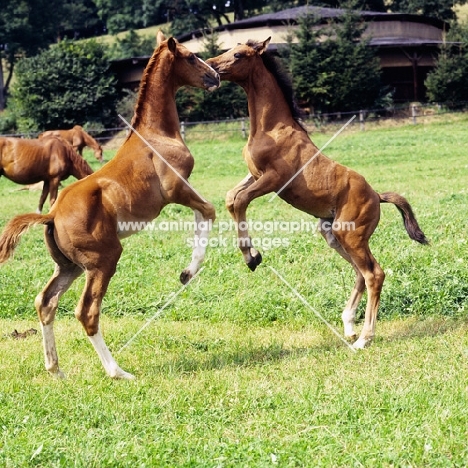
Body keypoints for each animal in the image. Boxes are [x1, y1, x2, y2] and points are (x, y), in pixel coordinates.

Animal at [0, 31, 220, 378]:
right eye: (189, 56)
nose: (215, 76)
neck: (156, 135)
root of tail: (52, 215)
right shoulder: (177, 189)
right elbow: (208, 211)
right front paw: (188, 272)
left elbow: (204, 213)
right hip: (103, 260)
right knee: (86, 311)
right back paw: (117, 371)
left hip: (71, 266)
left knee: (45, 302)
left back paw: (56, 369)